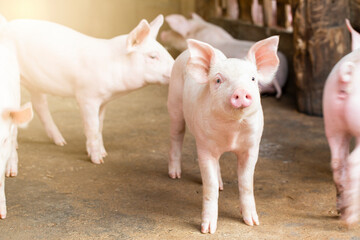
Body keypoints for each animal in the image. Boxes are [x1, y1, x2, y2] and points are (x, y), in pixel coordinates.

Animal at [2, 14, 174, 164]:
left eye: (166, 51)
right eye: (153, 56)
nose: (176, 67)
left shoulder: (104, 102)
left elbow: (100, 126)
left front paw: (104, 153)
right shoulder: (87, 97)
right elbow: (92, 127)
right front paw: (98, 161)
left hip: (36, 83)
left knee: (39, 105)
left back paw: (61, 142)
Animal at [167, 36, 280, 233]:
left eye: (253, 78)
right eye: (218, 80)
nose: (241, 91)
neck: (231, 132)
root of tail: (185, 53)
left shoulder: (252, 147)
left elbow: (246, 182)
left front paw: (253, 222)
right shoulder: (205, 148)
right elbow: (209, 186)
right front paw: (207, 230)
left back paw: (221, 185)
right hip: (174, 103)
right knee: (176, 135)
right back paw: (174, 175)